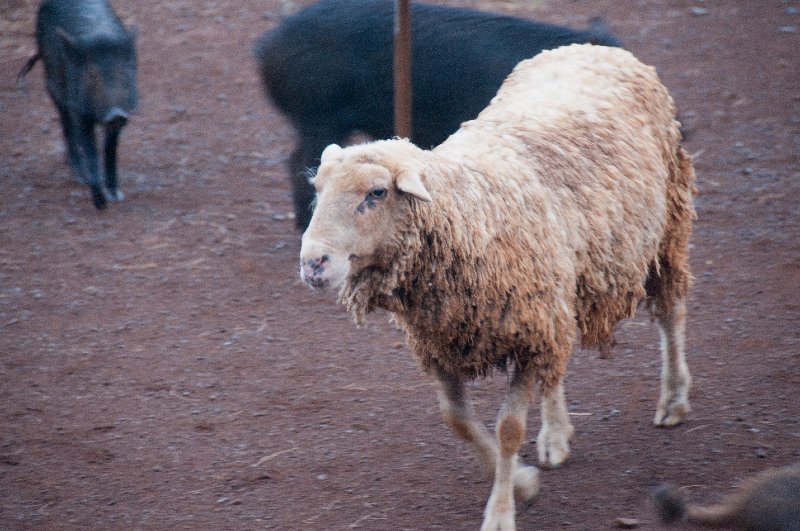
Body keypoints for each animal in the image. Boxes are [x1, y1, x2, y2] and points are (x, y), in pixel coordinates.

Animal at [19, 0, 138, 210]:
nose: (116, 113)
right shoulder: (80, 111)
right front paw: (100, 204)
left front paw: (116, 195)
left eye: (124, 71)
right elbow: (91, 151)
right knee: (66, 126)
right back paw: (79, 175)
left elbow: (110, 150)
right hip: (54, 85)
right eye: (92, 74)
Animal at [298, 43, 692, 528]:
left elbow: (508, 429)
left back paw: (673, 399)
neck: (470, 210)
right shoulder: (447, 339)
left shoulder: (525, 334)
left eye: (376, 193)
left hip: (667, 227)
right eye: (317, 188)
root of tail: (594, 48)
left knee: (671, 312)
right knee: (557, 363)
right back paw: (556, 433)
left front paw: (502, 510)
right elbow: (457, 420)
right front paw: (522, 482)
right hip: (557, 291)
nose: (313, 263)